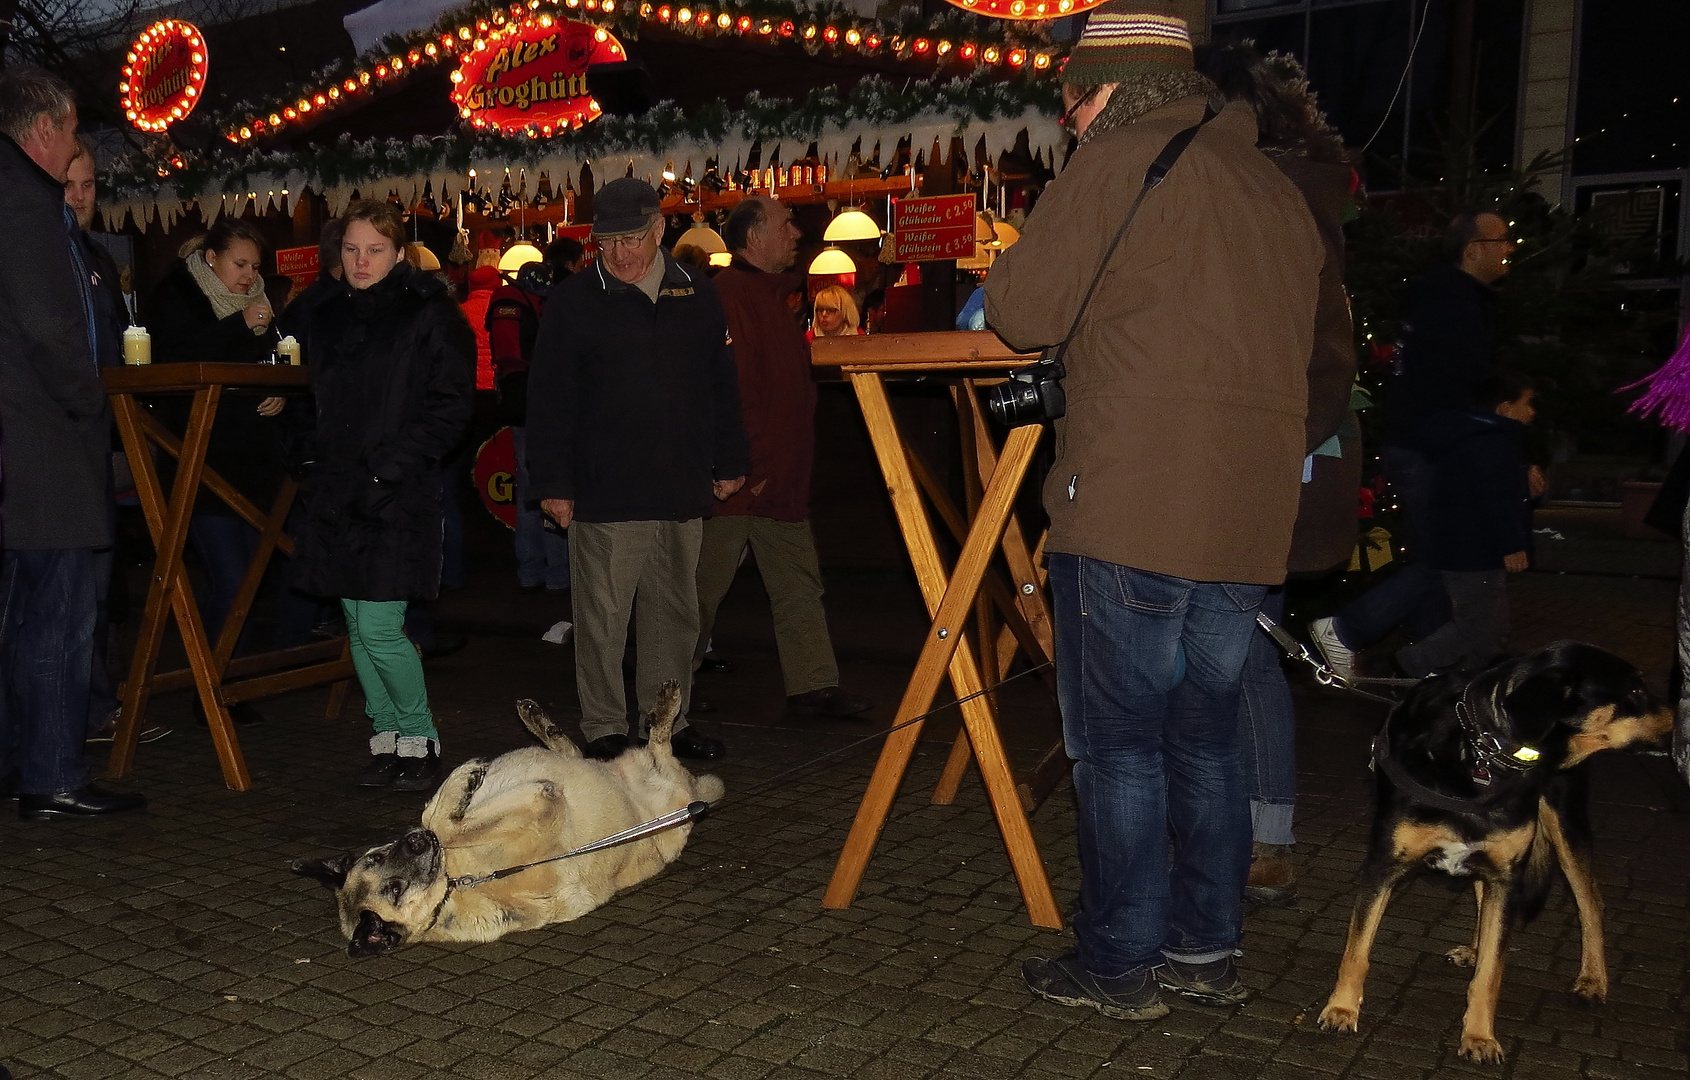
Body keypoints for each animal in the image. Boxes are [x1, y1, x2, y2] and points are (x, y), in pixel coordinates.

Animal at [1311, 642, 1669, 1068]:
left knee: (1590, 903)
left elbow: (1491, 973)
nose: (1677, 718)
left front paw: (1480, 1036)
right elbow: (1357, 950)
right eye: (1634, 691)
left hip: (1564, 822)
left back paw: (1593, 981)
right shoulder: (1383, 867)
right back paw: (1477, 947)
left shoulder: (1507, 876)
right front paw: (1341, 1010)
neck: (1482, 754)